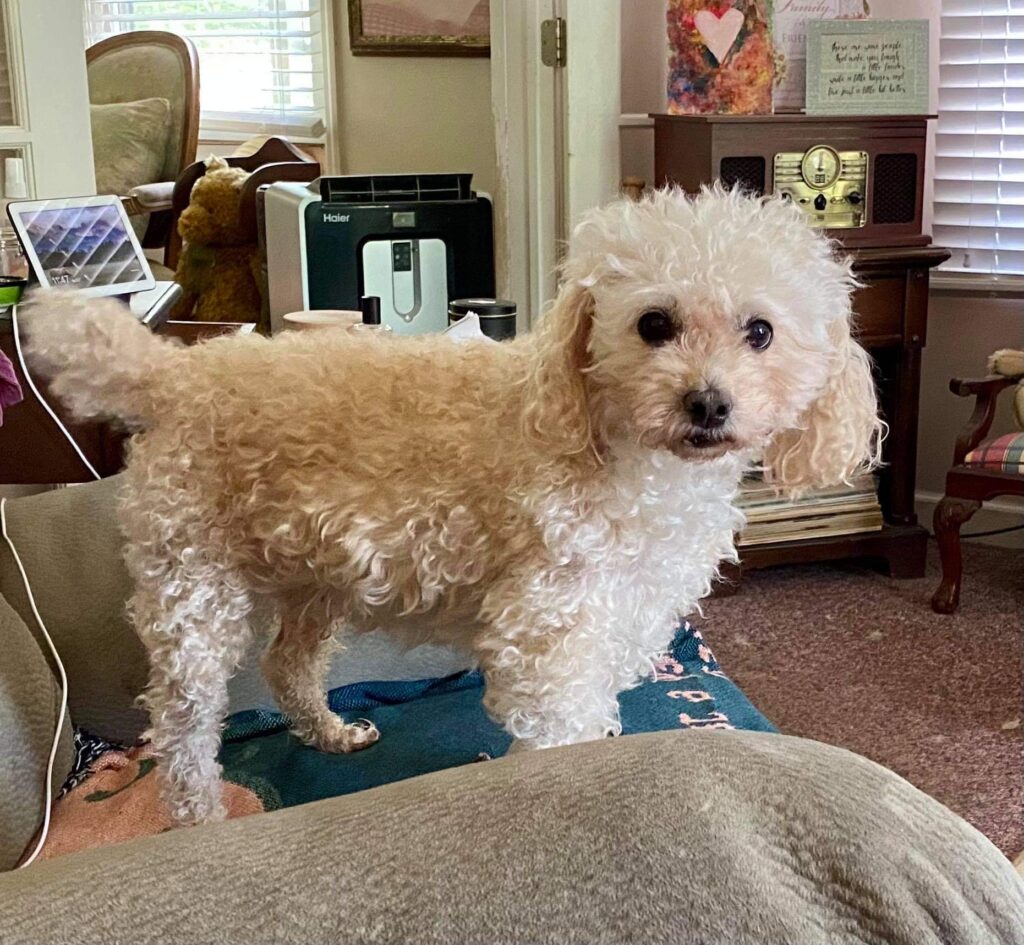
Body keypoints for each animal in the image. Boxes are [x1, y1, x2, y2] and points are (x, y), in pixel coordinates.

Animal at [24, 186, 880, 827]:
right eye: (654, 324)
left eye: (761, 331)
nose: (707, 403)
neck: (625, 452)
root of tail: (176, 373)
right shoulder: (548, 628)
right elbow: (557, 724)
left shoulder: (620, 617)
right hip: (191, 595)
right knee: (181, 729)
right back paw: (201, 815)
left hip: (311, 580)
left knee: (286, 664)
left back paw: (328, 731)